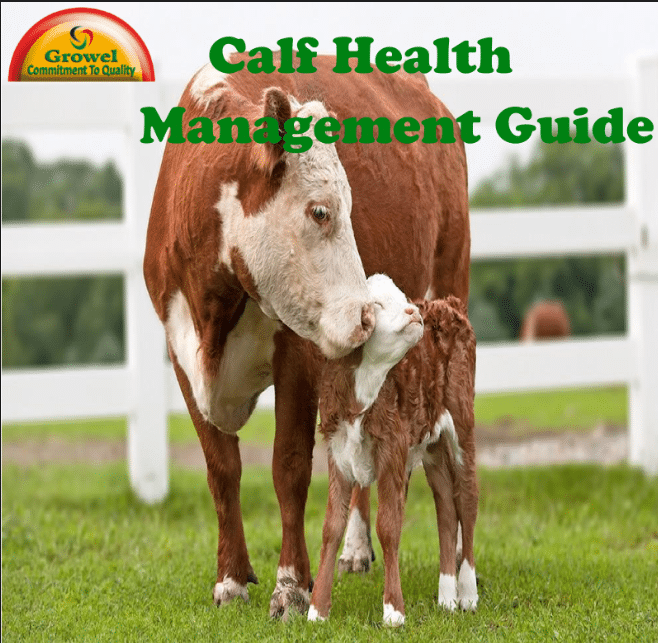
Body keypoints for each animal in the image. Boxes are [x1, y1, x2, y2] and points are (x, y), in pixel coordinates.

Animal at [309, 274, 478, 625]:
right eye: (377, 304)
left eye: (403, 298)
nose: (414, 311)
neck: (363, 390)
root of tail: (447, 303)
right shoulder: (337, 454)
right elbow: (331, 527)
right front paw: (317, 609)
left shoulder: (392, 451)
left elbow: (388, 527)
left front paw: (393, 611)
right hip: (431, 443)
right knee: (446, 506)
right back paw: (447, 597)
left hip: (462, 426)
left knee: (467, 501)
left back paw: (468, 593)